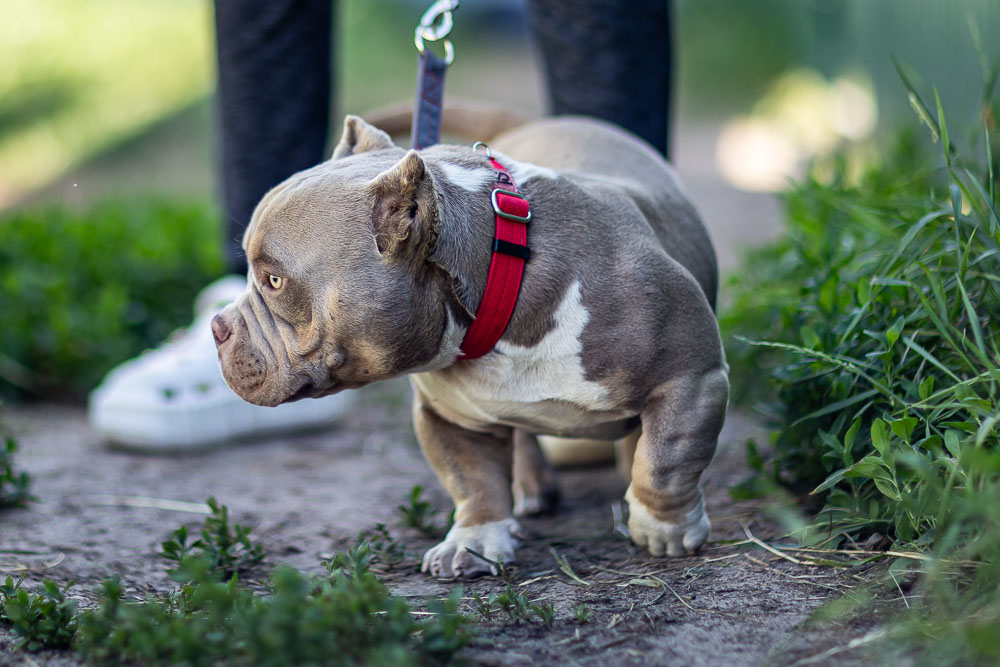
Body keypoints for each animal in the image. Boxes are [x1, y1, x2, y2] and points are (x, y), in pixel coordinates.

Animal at [212, 115, 729, 578]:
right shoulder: (450, 415)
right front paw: (475, 540)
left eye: (274, 280)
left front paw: (664, 528)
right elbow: (473, 479)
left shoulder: (692, 378)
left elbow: (666, 459)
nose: (218, 326)